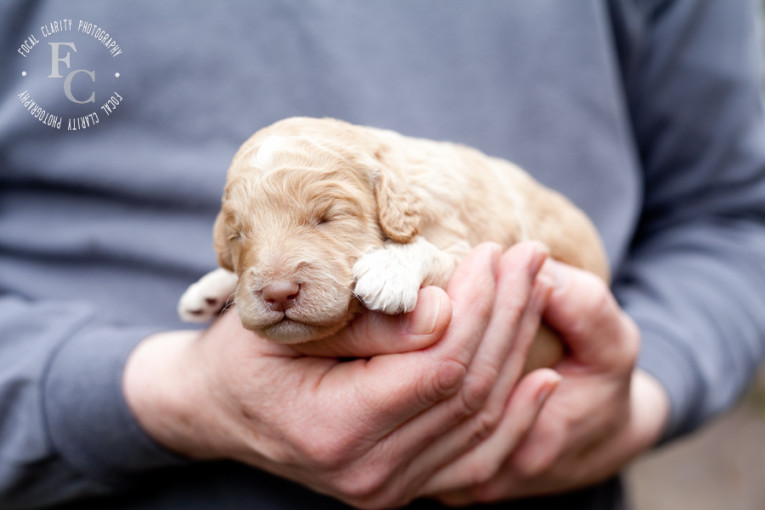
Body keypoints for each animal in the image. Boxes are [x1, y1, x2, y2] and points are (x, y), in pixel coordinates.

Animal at [179, 118, 608, 368]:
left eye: (328, 217)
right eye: (238, 235)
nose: (278, 293)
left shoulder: (468, 243)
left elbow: (429, 250)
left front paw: (388, 270)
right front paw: (210, 286)